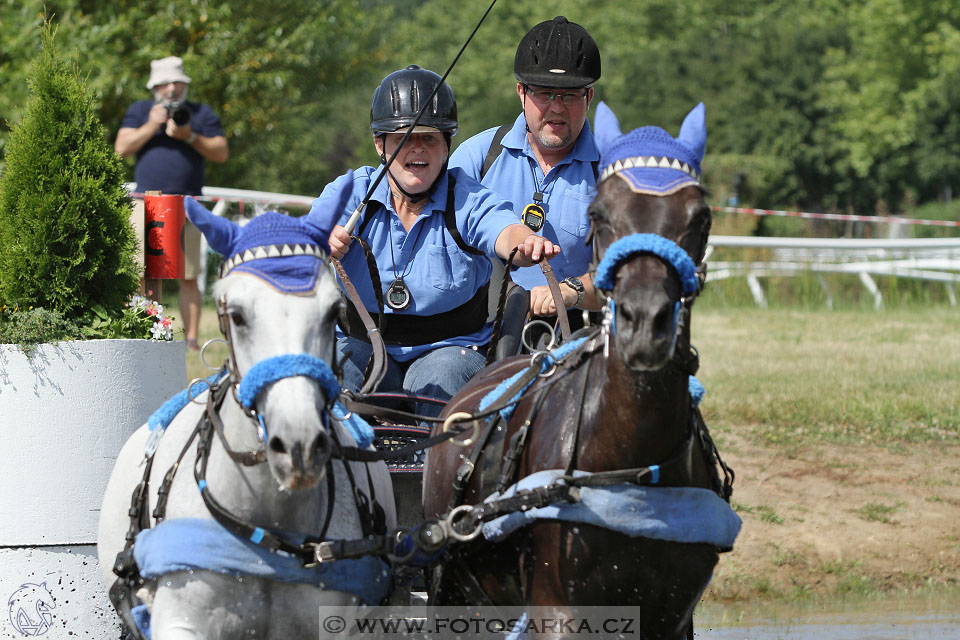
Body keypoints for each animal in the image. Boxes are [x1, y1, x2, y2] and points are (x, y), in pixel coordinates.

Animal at [422, 102, 744, 636]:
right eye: (599, 214)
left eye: (701, 217)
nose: (644, 324)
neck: (630, 465)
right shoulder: (558, 610)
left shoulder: (673, 616)